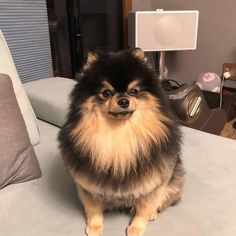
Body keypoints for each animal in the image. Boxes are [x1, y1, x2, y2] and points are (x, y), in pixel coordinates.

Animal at [58, 48, 184, 236]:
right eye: (106, 93)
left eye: (133, 91)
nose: (123, 101)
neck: (120, 134)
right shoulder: (87, 183)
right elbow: (93, 207)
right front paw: (95, 226)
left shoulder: (152, 182)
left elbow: (144, 207)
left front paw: (136, 227)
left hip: (173, 181)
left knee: (163, 198)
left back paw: (153, 213)